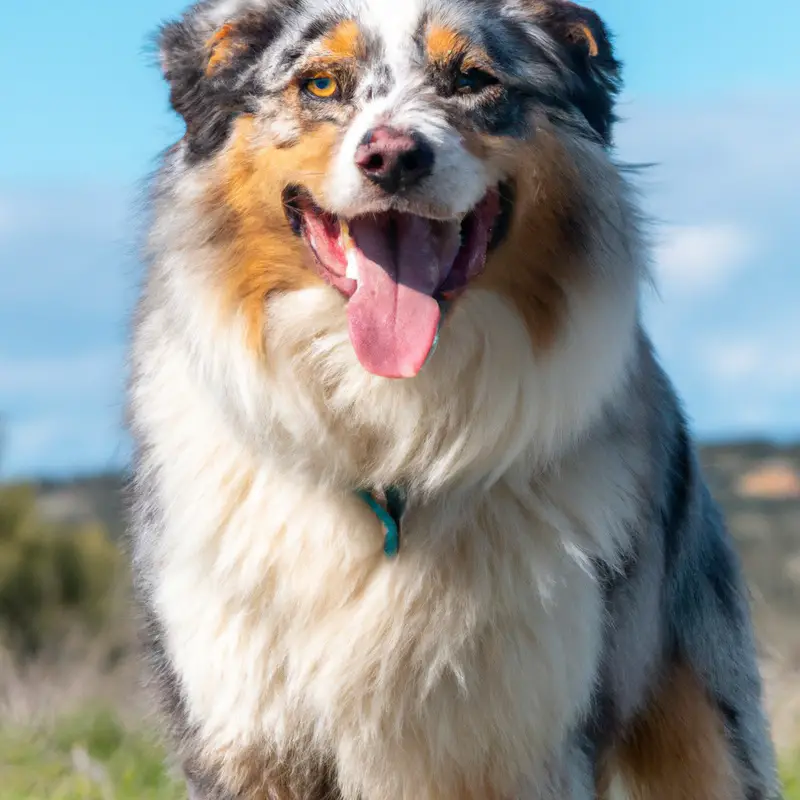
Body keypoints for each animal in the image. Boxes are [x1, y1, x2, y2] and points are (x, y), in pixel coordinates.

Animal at [128, 0, 780, 796]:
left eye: (472, 79)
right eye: (320, 83)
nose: (392, 157)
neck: (394, 429)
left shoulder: (529, 733)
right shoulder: (243, 731)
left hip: (706, 720)